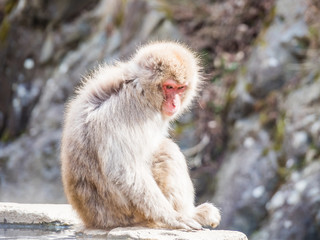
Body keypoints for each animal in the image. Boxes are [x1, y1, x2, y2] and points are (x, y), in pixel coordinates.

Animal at [60, 41, 220, 231]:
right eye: (169, 87)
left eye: (180, 88)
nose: (174, 103)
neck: (138, 85)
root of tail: (91, 219)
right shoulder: (135, 111)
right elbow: (123, 170)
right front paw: (174, 217)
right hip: (128, 213)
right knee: (167, 151)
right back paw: (191, 214)